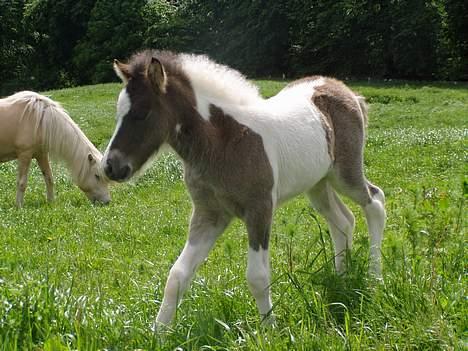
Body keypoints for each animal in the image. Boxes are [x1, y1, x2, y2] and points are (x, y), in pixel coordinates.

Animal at [104, 50, 386, 328]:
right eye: (118, 113)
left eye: (142, 112)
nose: (110, 166)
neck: (225, 141)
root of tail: (345, 89)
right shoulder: (209, 214)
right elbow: (177, 275)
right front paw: (158, 331)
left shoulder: (259, 209)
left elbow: (257, 277)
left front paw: (270, 330)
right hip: (318, 184)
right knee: (343, 221)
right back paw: (342, 276)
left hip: (345, 174)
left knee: (375, 202)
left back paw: (374, 277)